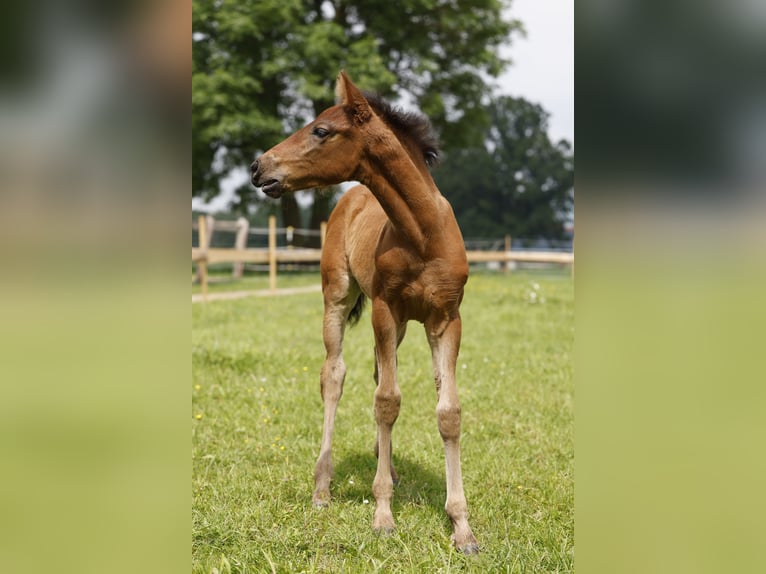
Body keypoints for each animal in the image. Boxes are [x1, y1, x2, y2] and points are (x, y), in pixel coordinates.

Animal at [252, 71, 480, 552]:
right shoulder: (384, 310)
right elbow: (387, 402)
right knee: (334, 375)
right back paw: (322, 488)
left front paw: (462, 527)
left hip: (404, 325)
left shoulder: (446, 319)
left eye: (321, 131)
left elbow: (447, 411)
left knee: (377, 375)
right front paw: (383, 515)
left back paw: (386, 464)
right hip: (337, 296)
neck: (422, 234)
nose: (259, 166)